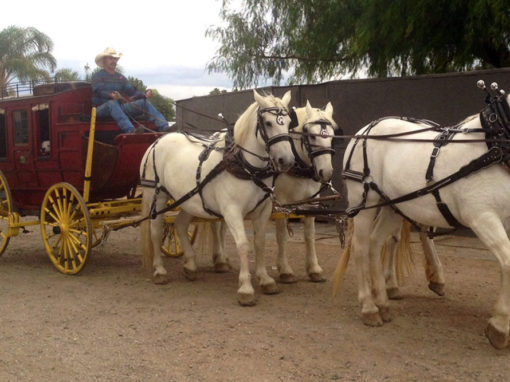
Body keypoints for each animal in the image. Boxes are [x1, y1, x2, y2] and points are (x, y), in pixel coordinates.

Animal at [140, 90, 294, 308]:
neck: (243, 164)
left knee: (179, 225)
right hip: (157, 195)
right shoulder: (232, 211)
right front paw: (245, 288)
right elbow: (243, 244)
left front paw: (265, 279)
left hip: (188, 200)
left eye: (288, 122)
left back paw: (190, 266)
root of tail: (157, 141)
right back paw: (160, 270)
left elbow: (260, 242)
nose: (287, 161)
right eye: (268, 123)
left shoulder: (262, 210)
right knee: (155, 231)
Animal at [334, 81, 510, 350]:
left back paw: (383, 302)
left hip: (393, 206)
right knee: (361, 248)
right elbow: (508, 263)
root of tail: (365, 130)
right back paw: (369, 307)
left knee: (376, 243)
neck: (494, 145)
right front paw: (499, 327)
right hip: (364, 203)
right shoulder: (483, 217)